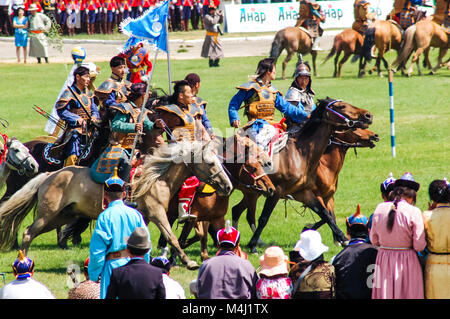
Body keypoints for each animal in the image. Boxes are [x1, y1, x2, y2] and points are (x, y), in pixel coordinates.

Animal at [230, 97, 374, 252]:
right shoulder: (277, 191)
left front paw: (343, 238)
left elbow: (326, 214)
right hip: (252, 192)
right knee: (245, 213)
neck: (300, 155)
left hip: (251, 192)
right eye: (341, 106)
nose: (368, 115)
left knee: (236, 210)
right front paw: (252, 245)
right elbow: (264, 218)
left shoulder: (304, 193)